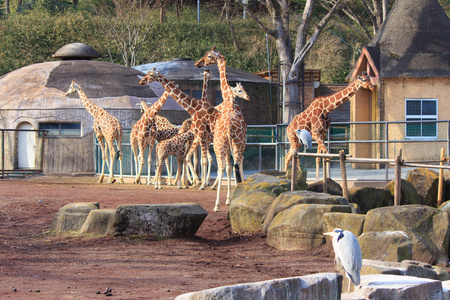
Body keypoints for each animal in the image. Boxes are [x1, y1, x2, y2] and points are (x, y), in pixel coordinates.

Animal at [194, 46, 250, 211]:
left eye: (208, 56)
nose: (198, 63)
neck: (229, 100)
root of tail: (230, 127)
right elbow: (232, 168)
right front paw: (230, 199)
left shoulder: (221, 146)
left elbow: (225, 168)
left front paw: (224, 201)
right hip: (237, 145)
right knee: (236, 164)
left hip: (220, 146)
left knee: (221, 167)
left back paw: (217, 204)